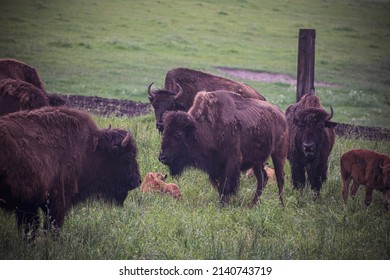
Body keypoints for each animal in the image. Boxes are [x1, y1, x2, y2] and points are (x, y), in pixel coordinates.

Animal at [0, 106, 140, 237]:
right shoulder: (56, 203)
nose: (138, 181)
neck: (89, 151)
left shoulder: (28, 206)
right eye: (127, 157)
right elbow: (50, 229)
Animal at [157, 91, 288, 205]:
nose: (162, 157)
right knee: (262, 178)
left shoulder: (231, 162)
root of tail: (281, 114)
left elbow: (226, 186)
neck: (203, 128)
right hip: (257, 161)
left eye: (178, 134)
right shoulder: (215, 167)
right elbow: (220, 186)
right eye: (165, 132)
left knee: (280, 178)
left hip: (278, 154)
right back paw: (253, 204)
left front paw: (223, 205)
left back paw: (281, 205)